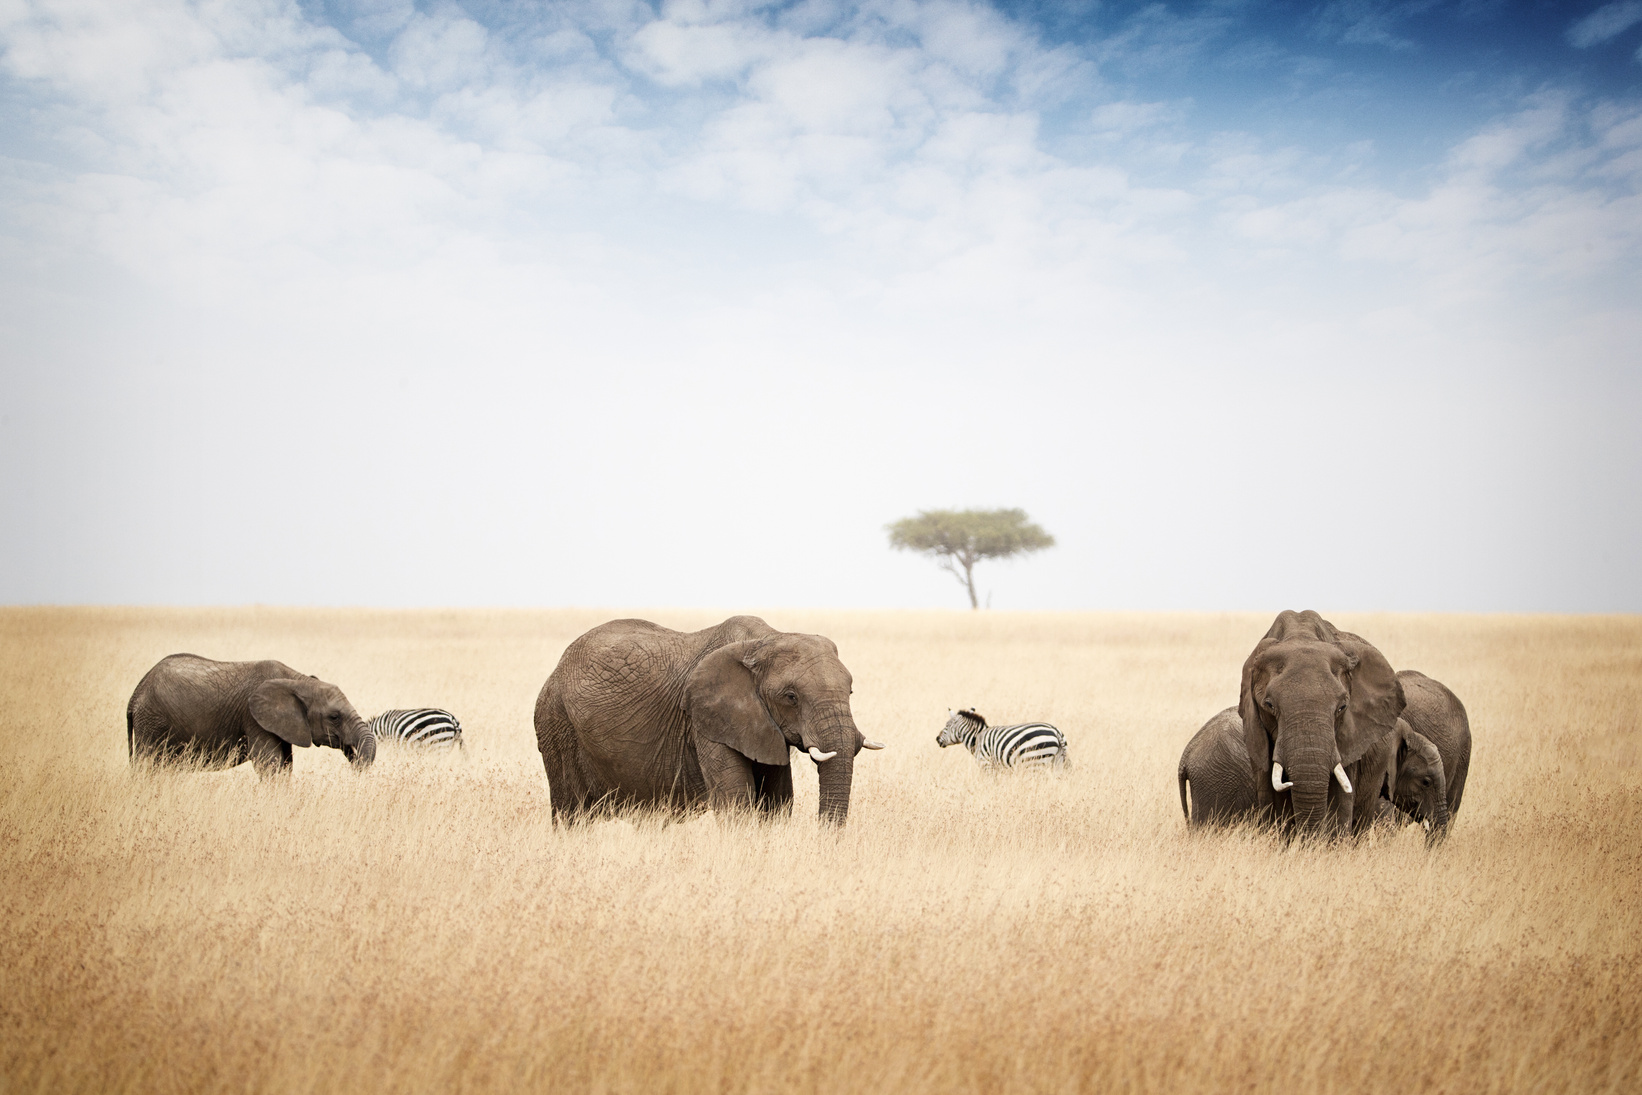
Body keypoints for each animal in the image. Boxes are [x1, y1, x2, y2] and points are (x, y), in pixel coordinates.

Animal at [126, 656, 376, 774]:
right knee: (148, 765)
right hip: (151, 722)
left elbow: (285, 765)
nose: (353, 757)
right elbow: (268, 763)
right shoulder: (254, 719)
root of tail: (136, 693)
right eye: (334, 717)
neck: (298, 680)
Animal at [535, 613, 886, 827]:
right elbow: (737, 804)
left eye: (850, 691)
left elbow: (776, 804)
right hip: (557, 726)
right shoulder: (707, 719)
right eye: (791, 697)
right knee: (570, 814)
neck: (765, 640)